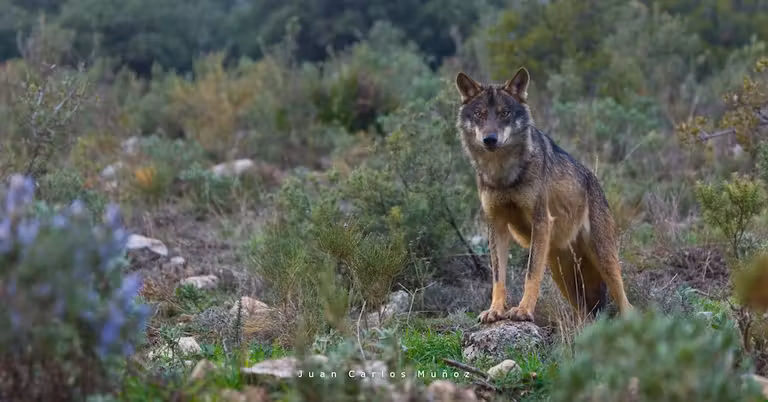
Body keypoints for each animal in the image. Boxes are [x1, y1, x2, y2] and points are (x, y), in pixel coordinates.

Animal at [454, 67, 633, 323]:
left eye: (505, 113)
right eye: (480, 114)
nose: (490, 139)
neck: (503, 175)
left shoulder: (540, 221)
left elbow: (530, 275)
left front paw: (523, 310)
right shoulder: (496, 226)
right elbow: (498, 278)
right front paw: (495, 310)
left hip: (603, 259)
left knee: (625, 303)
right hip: (562, 276)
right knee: (585, 313)